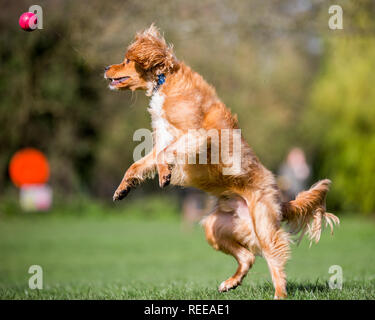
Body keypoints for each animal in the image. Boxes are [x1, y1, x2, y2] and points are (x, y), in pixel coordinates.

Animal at [104, 25, 340, 300]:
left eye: (127, 60)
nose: (106, 68)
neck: (165, 81)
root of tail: (281, 199)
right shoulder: (162, 137)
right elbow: (138, 164)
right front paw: (123, 189)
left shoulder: (197, 135)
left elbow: (165, 155)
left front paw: (165, 174)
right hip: (215, 227)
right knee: (248, 256)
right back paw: (231, 282)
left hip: (263, 225)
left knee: (275, 257)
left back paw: (279, 293)